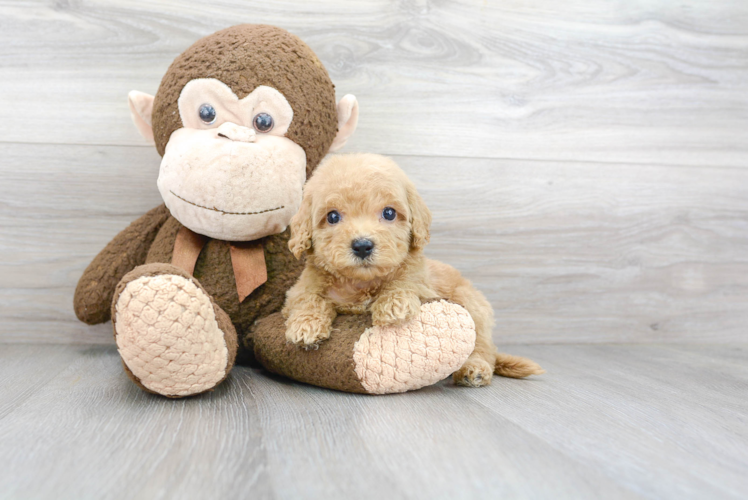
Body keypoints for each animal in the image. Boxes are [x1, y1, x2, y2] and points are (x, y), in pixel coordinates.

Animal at [282, 152, 544, 386]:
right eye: (333, 217)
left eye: (389, 213)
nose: (363, 246)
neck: (362, 282)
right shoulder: (299, 291)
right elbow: (310, 298)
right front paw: (306, 326)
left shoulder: (423, 284)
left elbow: (405, 281)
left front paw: (393, 305)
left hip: (472, 305)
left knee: (482, 348)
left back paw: (474, 370)